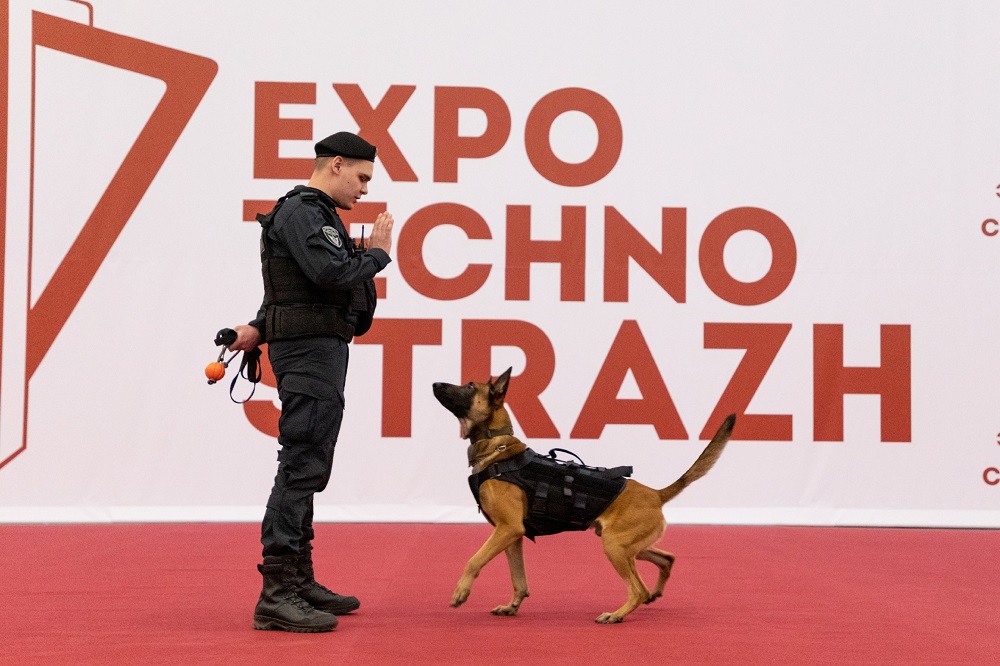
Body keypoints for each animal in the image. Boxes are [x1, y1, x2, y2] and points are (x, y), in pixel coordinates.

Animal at [432, 367, 735, 624]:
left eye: (470, 386)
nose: (435, 383)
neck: (497, 446)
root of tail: (656, 494)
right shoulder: (511, 536)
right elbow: (519, 580)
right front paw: (512, 606)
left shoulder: (507, 530)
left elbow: (474, 560)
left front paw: (461, 591)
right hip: (627, 546)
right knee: (666, 560)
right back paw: (652, 594)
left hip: (614, 546)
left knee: (637, 589)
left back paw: (616, 614)